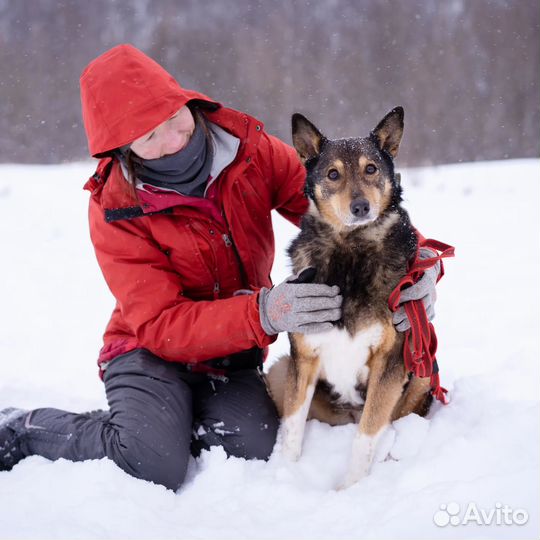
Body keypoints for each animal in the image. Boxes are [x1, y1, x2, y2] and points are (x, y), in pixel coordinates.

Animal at [268, 107, 432, 488]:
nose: (360, 207)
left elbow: (366, 437)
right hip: (280, 369)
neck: (350, 250)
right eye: (332, 174)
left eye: (371, 169)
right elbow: (293, 431)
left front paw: (350, 488)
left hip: (423, 367)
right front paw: (286, 477)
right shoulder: (304, 357)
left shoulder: (391, 360)